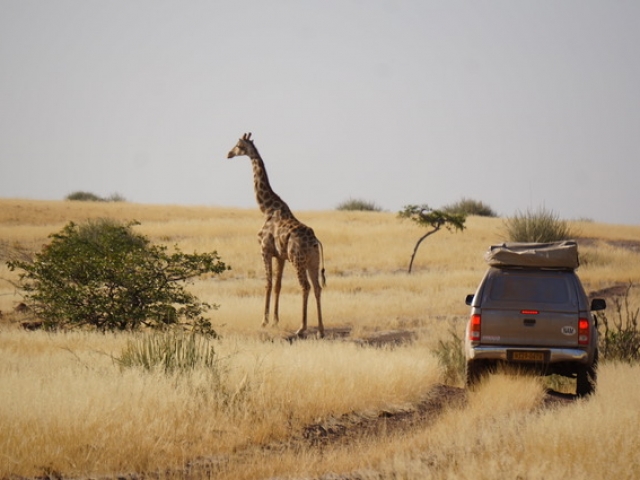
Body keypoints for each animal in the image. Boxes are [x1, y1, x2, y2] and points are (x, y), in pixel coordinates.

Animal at [228, 131, 324, 338]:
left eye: (238, 145)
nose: (228, 154)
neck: (267, 209)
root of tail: (315, 242)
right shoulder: (280, 256)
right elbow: (278, 285)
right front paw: (275, 321)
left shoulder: (265, 250)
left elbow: (268, 284)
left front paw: (264, 321)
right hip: (312, 261)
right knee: (317, 287)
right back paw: (321, 330)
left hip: (298, 260)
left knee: (305, 287)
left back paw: (301, 328)